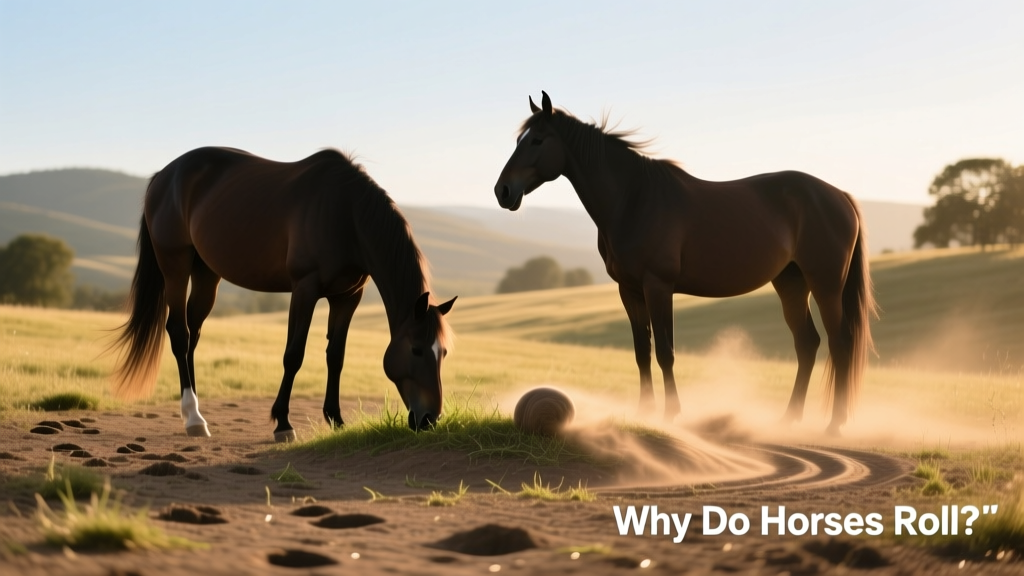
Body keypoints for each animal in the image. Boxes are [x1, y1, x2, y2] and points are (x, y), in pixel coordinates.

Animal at [112, 147, 456, 442]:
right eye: (416, 350)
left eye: (444, 353)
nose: (429, 419)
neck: (346, 215)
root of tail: (163, 175)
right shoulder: (304, 289)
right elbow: (294, 355)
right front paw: (283, 423)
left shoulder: (348, 296)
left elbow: (336, 356)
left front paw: (336, 419)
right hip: (175, 266)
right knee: (179, 334)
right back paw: (193, 418)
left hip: (206, 272)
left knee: (193, 335)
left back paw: (196, 415)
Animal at [493, 92, 875, 435]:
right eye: (520, 140)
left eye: (537, 140)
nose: (503, 191)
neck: (633, 200)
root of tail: (840, 196)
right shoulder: (630, 290)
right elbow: (642, 351)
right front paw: (644, 411)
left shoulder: (658, 286)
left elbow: (665, 352)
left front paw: (670, 413)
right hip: (791, 282)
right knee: (807, 344)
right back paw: (789, 419)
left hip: (826, 285)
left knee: (840, 343)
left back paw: (835, 424)